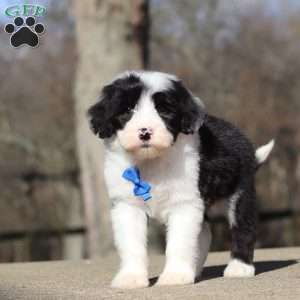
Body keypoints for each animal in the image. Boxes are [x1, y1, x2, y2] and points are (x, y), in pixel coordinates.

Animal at [87, 70, 274, 288]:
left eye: (164, 111)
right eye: (128, 109)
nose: (145, 132)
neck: (152, 161)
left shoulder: (184, 204)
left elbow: (179, 242)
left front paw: (174, 276)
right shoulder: (128, 206)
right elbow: (132, 244)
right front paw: (131, 278)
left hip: (241, 193)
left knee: (243, 226)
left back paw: (239, 268)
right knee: (204, 234)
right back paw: (196, 270)